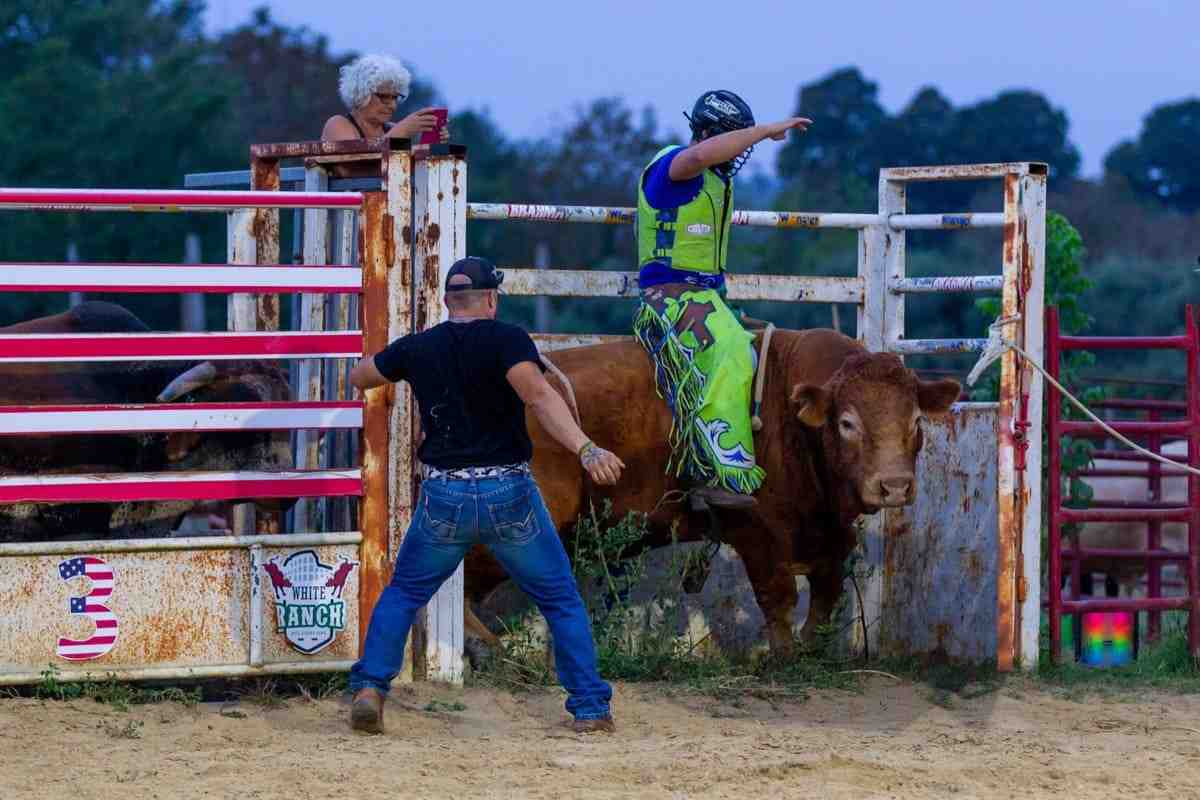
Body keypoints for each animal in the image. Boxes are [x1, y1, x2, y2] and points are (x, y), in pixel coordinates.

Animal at [463, 326, 960, 657]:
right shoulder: (759, 531)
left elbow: (825, 597)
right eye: (847, 423)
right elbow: (780, 598)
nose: (893, 486)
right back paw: (488, 649)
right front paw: (784, 659)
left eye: (917, 420)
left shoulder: (829, 534)